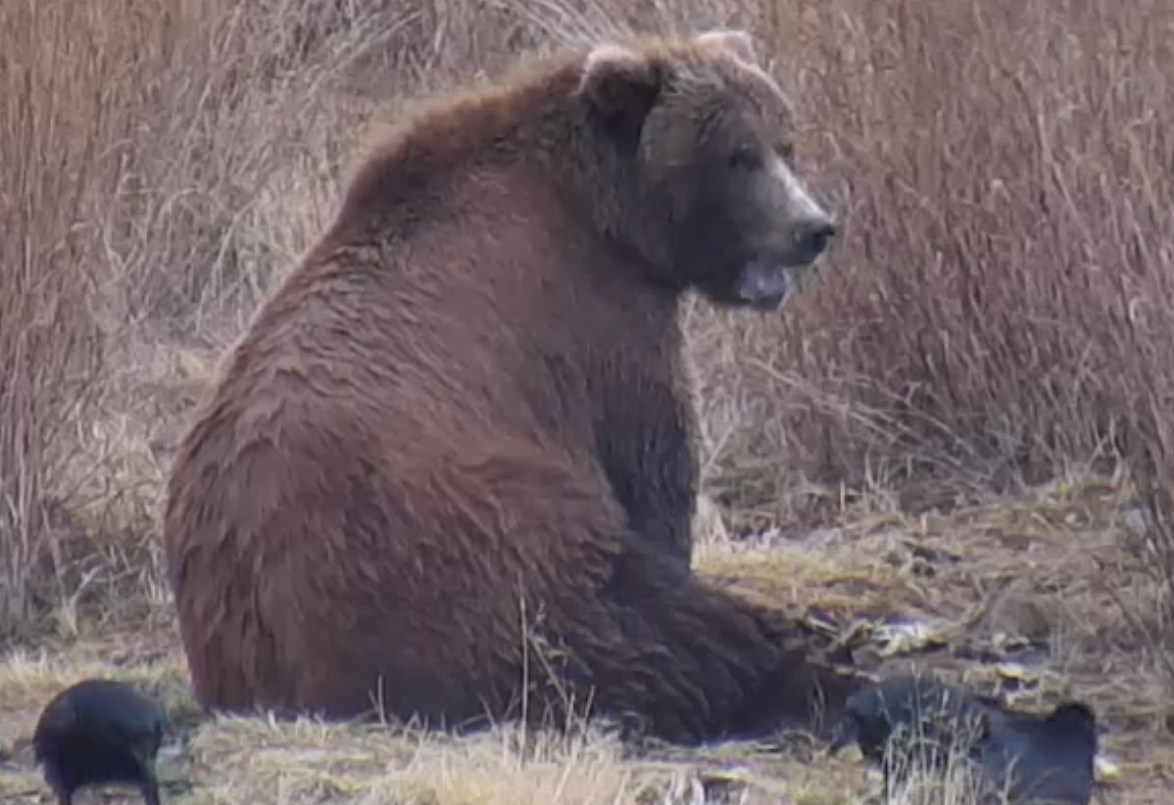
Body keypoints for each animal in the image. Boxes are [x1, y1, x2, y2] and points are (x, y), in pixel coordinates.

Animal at [160, 29, 854, 751]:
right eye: (737, 155)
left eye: (786, 141)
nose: (812, 228)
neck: (605, 211)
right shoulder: (601, 325)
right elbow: (653, 472)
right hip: (450, 536)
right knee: (621, 614)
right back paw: (803, 662)